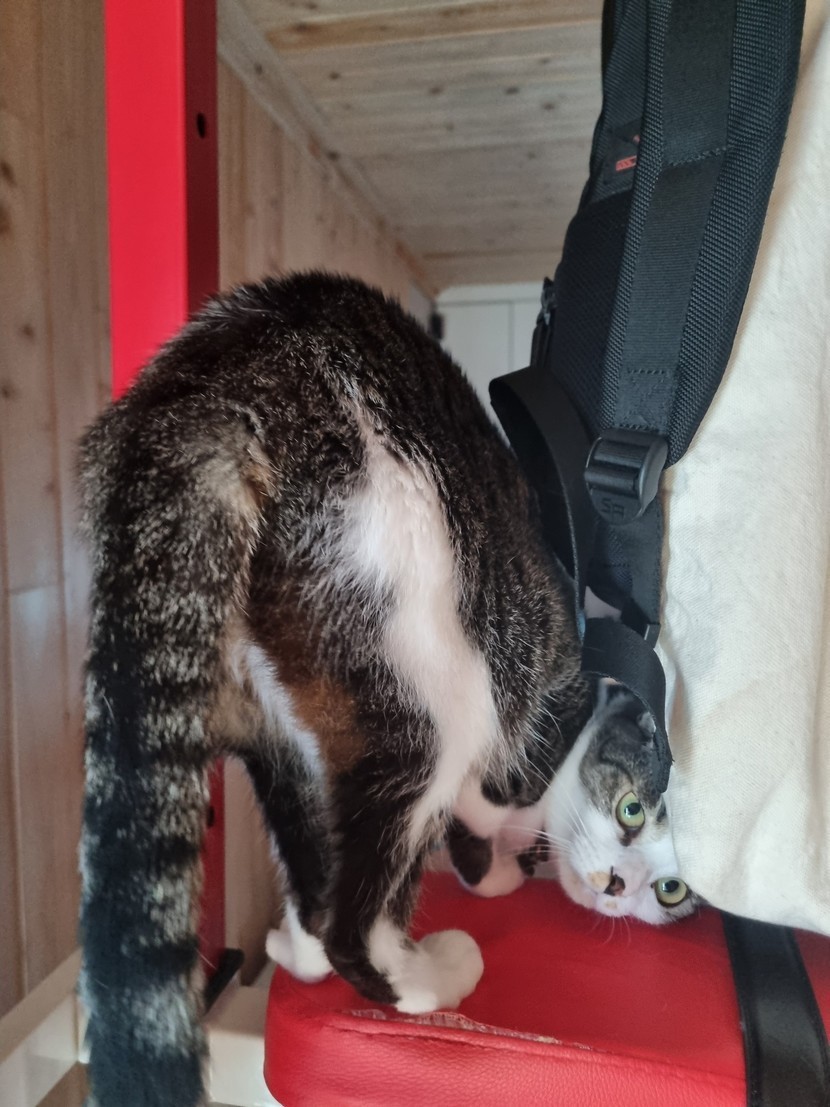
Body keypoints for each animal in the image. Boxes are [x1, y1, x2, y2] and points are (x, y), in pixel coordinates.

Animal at [77, 272, 594, 1107]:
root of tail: (208, 389)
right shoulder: (537, 692)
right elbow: (493, 801)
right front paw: (497, 871)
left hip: (263, 713)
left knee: (317, 870)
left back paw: (301, 946)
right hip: (424, 673)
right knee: (357, 910)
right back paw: (423, 977)